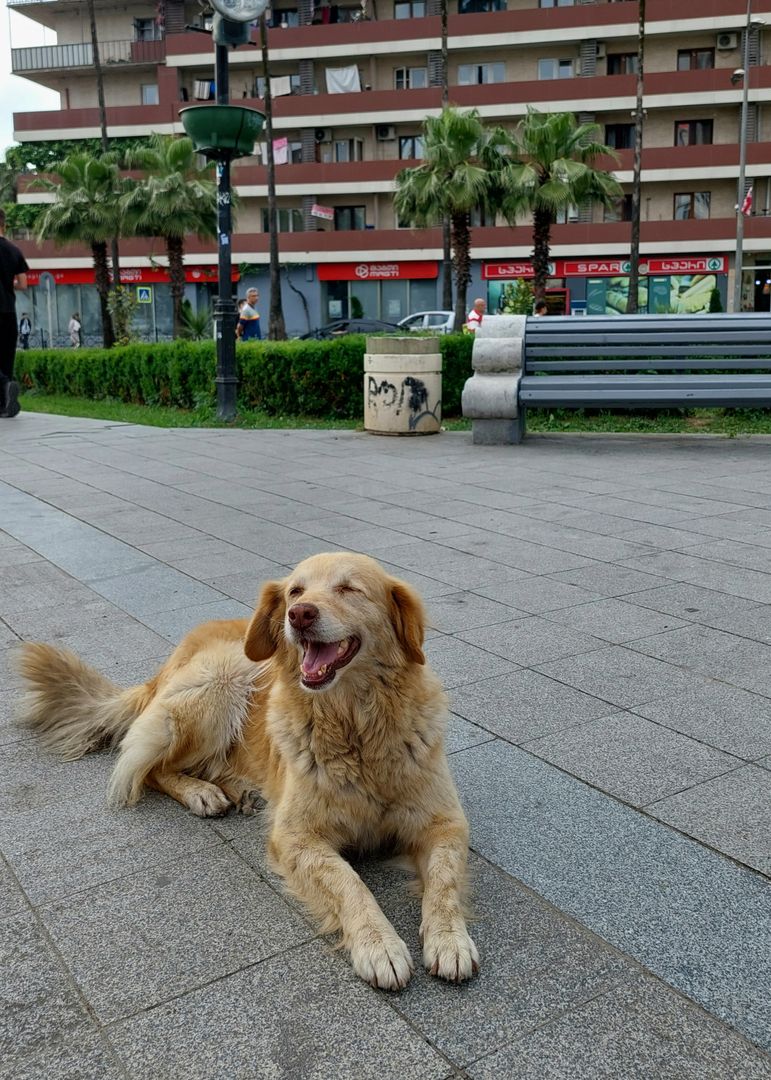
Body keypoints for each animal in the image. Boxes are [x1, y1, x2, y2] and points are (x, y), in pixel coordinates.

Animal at [16, 552, 475, 989]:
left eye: (349, 589)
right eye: (295, 591)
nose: (299, 615)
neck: (355, 727)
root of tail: (164, 667)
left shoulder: (444, 823)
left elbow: (444, 881)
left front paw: (450, 939)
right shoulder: (296, 836)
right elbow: (349, 884)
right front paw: (379, 945)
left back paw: (241, 790)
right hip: (223, 681)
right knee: (150, 768)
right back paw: (202, 793)